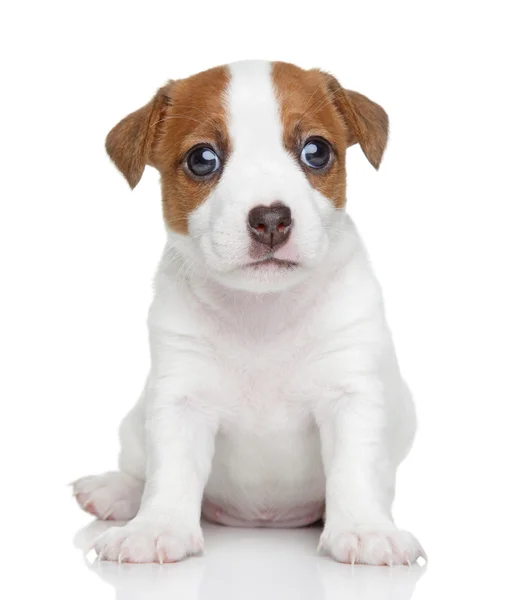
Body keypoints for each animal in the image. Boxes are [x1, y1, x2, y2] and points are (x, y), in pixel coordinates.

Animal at [72, 58, 424, 564]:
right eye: (202, 159)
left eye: (316, 152)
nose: (272, 219)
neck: (262, 313)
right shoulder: (181, 400)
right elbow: (170, 472)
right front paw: (156, 527)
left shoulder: (351, 395)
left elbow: (354, 468)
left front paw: (364, 529)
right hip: (135, 424)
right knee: (139, 468)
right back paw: (116, 491)